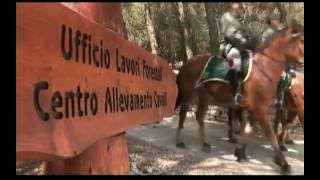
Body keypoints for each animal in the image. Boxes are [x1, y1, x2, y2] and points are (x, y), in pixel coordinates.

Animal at [176, 24, 304, 172]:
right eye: (302, 40)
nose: (294, 72)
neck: (264, 69)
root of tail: (188, 63)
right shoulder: (260, 109)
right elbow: (270, 134)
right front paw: (283, 163)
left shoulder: (256, 109)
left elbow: (249, 130)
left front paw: (240, 153)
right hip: (188, 94)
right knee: (183, 115)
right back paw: (179, 141)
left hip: (205, 97)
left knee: (199, 116)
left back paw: (205, 144)